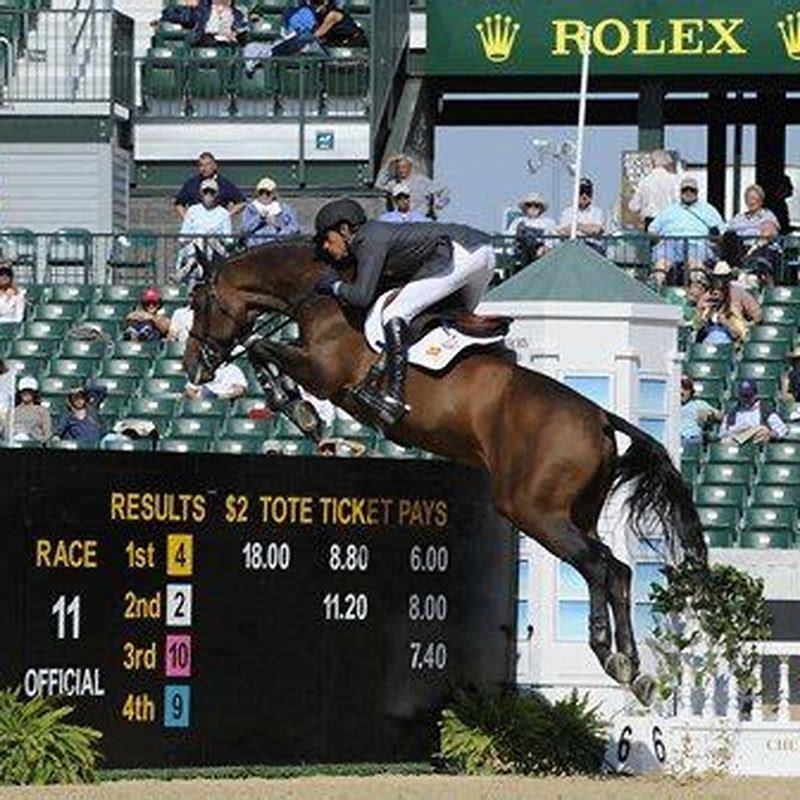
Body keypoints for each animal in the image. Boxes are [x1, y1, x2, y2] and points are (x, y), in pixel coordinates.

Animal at [183, 239, 709, 705]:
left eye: (197, 302)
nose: (193, 368)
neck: (324, 295)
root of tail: (600, 417)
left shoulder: (324, 372)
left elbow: (259, 345)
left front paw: (297, 408)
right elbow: (260, 346)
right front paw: (298, 409)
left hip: (533, 510)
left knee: (601, 567)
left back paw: (611, 657)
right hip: (574, 513)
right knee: (616, 569)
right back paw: (634, 672)